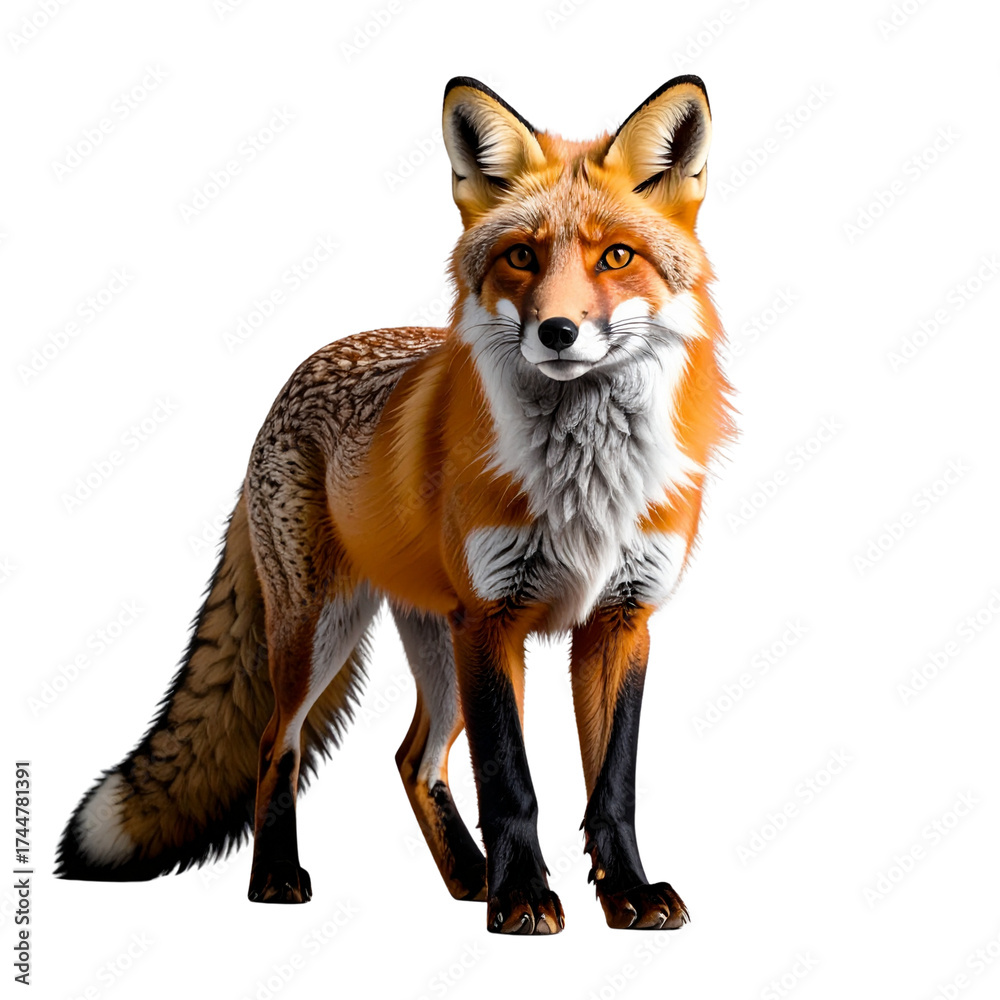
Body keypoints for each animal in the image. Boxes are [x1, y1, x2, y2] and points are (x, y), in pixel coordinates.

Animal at [56, 75, 733, 935]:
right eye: (521, 256)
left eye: (617, 256)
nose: (557, 331)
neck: (583, 484)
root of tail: (292, 381)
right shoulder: (492, 618)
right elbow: (510, 783)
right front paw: (523, 898)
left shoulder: (621, 619)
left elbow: (612, 788)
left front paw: (627, 895)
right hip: (320, 631)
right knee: (278, 744)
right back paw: (279, 878)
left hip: (434, 647)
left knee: (415, 757)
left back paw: (469, 875)